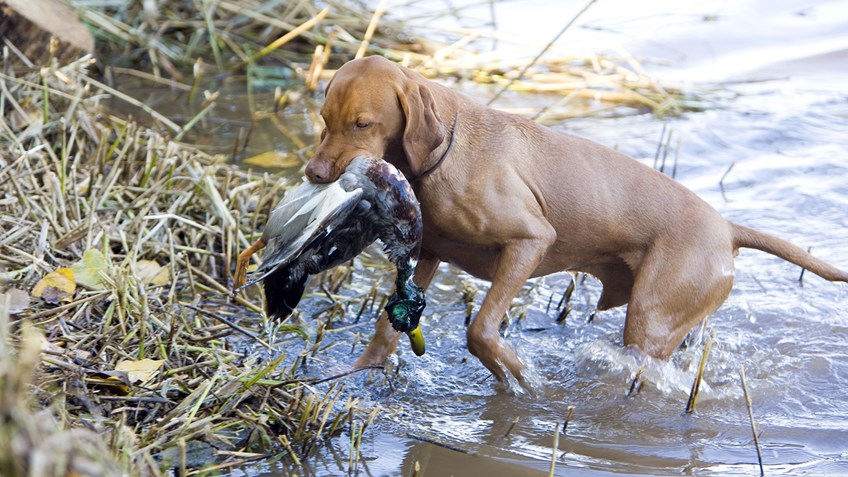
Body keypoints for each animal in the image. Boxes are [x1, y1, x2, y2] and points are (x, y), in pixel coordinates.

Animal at [304, 54, 848, 384]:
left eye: (363, 124)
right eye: (325, 120)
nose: (313, 174)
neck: (445, 152)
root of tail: (728, 228)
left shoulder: (529, 242)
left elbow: (482, 329)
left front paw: (521, 378)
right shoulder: (428, 257)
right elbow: (384, 331)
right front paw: (353, 379)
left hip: (651, 321)